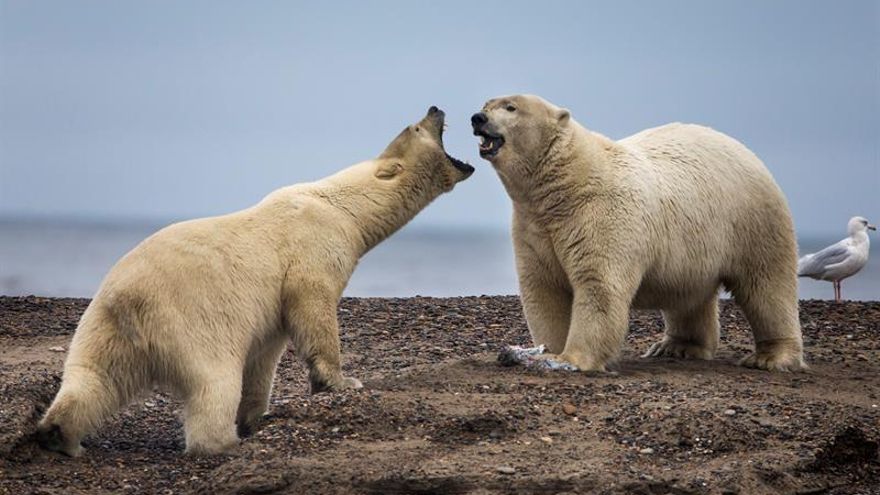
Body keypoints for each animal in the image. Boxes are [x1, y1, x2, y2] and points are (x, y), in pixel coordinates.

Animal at [36, 106, 474, 456]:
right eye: (416, 127)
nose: (435, 108)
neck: (340, 204)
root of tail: (129, 302)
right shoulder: (314, 247)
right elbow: (313, 307)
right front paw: (342, 381)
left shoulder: (269, 312)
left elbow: (264, 355)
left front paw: (255, 416)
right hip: (192, 323)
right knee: (213, 383)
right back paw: (221, 443)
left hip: (101, 328)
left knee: (91, 380)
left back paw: (60, 436)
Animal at [472, 94, 804, 373]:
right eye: (488, 103)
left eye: (511, 107)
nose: (478, 117)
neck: (568, 182)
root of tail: (746, 150)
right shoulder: (534, 225)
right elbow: (544, 288)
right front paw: (547, 350)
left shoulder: (601, 215)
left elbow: (598, 287)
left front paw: (572, 359)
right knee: (689, 295)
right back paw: (676, 347)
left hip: (753, 221)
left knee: (767, 285)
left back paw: (772, 357)